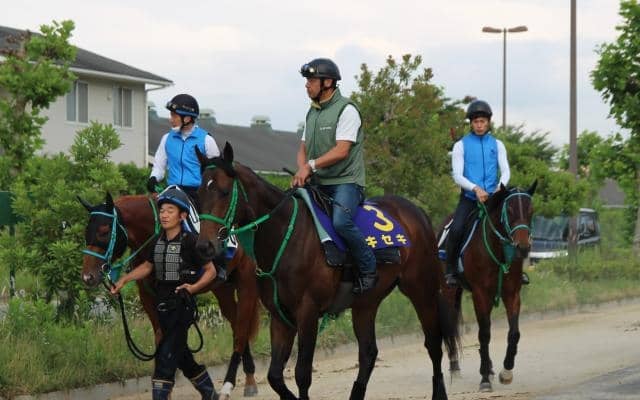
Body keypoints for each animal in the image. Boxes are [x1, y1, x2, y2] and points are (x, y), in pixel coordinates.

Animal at [194, 142, 460, 400]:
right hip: (366, 302)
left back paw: (439, 392)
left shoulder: (308, 311)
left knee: (433, 343)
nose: (205, 246)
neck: (287, 235)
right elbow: (275, 376)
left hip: (421, 289)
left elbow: (302, 373)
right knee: (368, 352)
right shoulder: (280, 316)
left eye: (224, 191)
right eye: (198, 194)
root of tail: (416, 213)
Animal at [441, 182, 536, 392]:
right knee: (451, 326)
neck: (497, 249)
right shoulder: (480, 294)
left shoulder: (512, 294)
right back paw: (455, 367)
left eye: (531, 210)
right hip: (450, 292)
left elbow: (514, 333)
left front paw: (505, 372)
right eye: (509, 210)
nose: (523, 247)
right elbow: (484, 334)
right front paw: (484, 378)